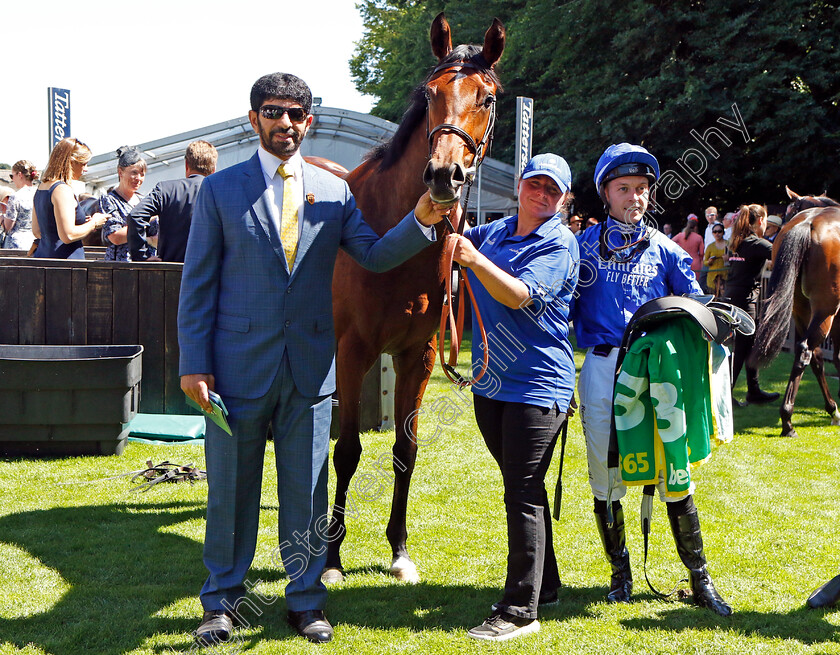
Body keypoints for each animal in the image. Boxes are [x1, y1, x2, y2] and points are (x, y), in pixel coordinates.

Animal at [322, 14, 506, 584]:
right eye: (429, 94)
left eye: (487, 98)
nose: (444, 175)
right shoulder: (352, 351)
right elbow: (348, 450)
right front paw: (331, 561)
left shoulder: (417, 356)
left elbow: (406, 450)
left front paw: (399, 551)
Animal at [748, 187, 840, 438]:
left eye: (788, 211)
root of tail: (808, 224)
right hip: (825, 309)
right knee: (806, 351)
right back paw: (788, 421)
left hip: (801, 309)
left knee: (813, 354)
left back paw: (829, 409)